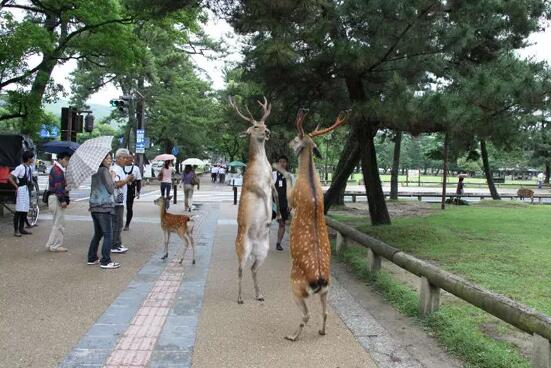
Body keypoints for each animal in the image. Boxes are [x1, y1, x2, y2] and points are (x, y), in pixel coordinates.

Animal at [276, 110, 350, 342]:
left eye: (295, 137)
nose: (287, 143)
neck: (309, 180)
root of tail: (319, 279)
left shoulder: (292, 200)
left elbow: (288, 184)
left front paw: (279, 168)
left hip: (295, 285)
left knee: (306, 314)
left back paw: (292, 336)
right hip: (327, 290)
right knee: (325, 312)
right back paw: (322, 330)